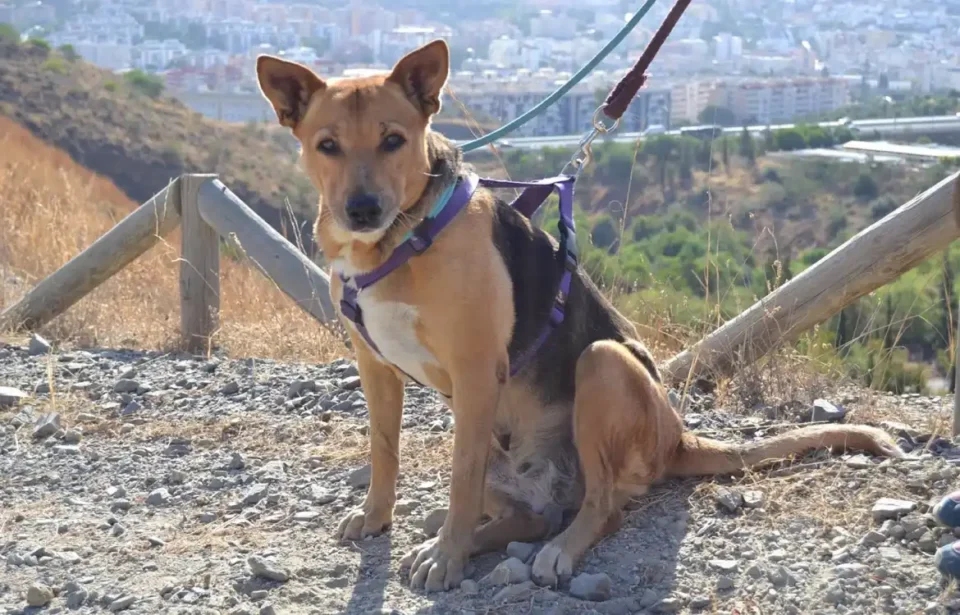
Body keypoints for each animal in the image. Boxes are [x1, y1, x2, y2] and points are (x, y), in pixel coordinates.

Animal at [253, 39, 900, 592]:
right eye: (327, 145)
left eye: (393, 140)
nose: (361, 209)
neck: (397, 241)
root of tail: (679, 437)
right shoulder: (377, 369)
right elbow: (384, 454)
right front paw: (377, 518)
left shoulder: (475, 371)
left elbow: (461, 480)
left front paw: (448, 557)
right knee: (527, 515)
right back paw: (469, 530)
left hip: (602, 364)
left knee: (600, 506)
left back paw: (548, 548)